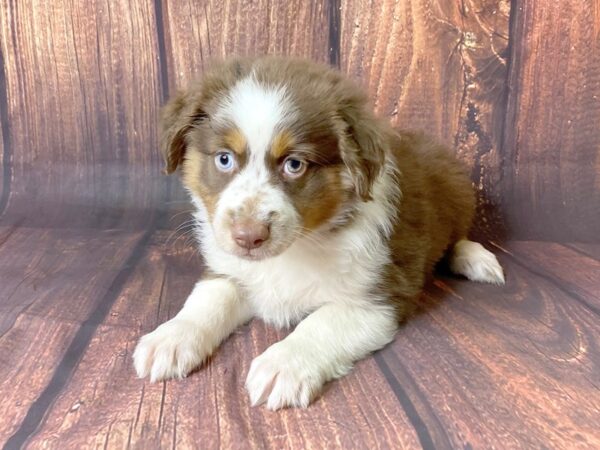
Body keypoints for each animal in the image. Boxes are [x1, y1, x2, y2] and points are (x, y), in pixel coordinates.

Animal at [134, 54, 504, 410]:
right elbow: (208, 298)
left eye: (294, 165)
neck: (297, 246)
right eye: (224, 159)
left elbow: (320, 323)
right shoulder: (231, 271)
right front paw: (171, 337)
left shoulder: (377, 298)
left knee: (457, 237)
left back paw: (477, 260)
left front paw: (283, 364)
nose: (248, 237)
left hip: (459, 190)